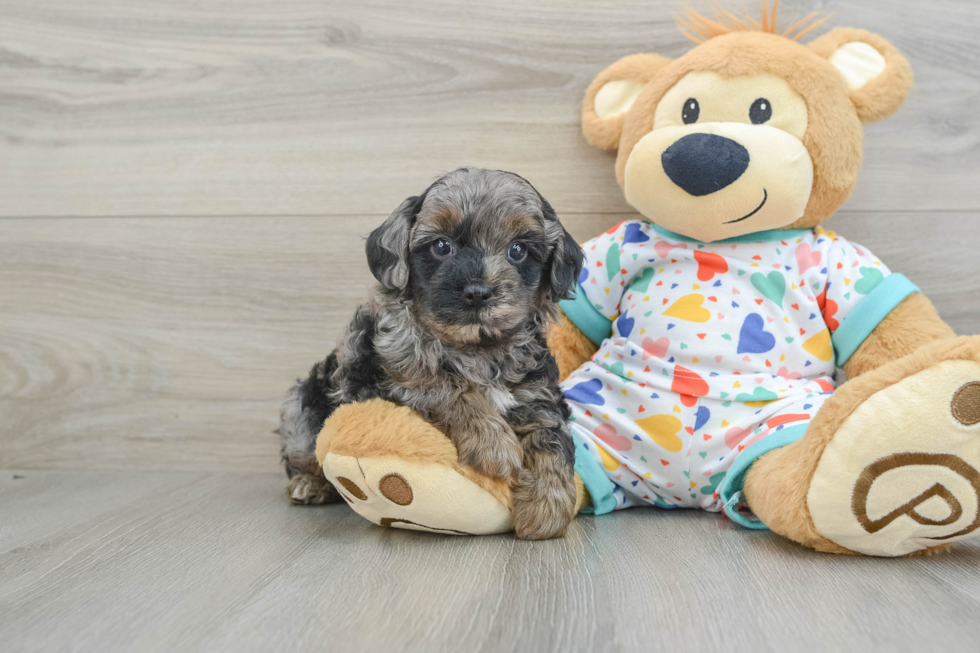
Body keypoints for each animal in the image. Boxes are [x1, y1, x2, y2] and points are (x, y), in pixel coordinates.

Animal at [278, 168, 580, 540]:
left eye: (518, 250)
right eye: (441, 246)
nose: (478, 292)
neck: (476, 348)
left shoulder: (537, 393)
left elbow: (551, 437)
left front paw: (547, 507)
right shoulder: (388, 377)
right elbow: (445, 385)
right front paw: (494, 445)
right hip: (300, 408)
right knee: (304, 454)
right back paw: (309, 484)